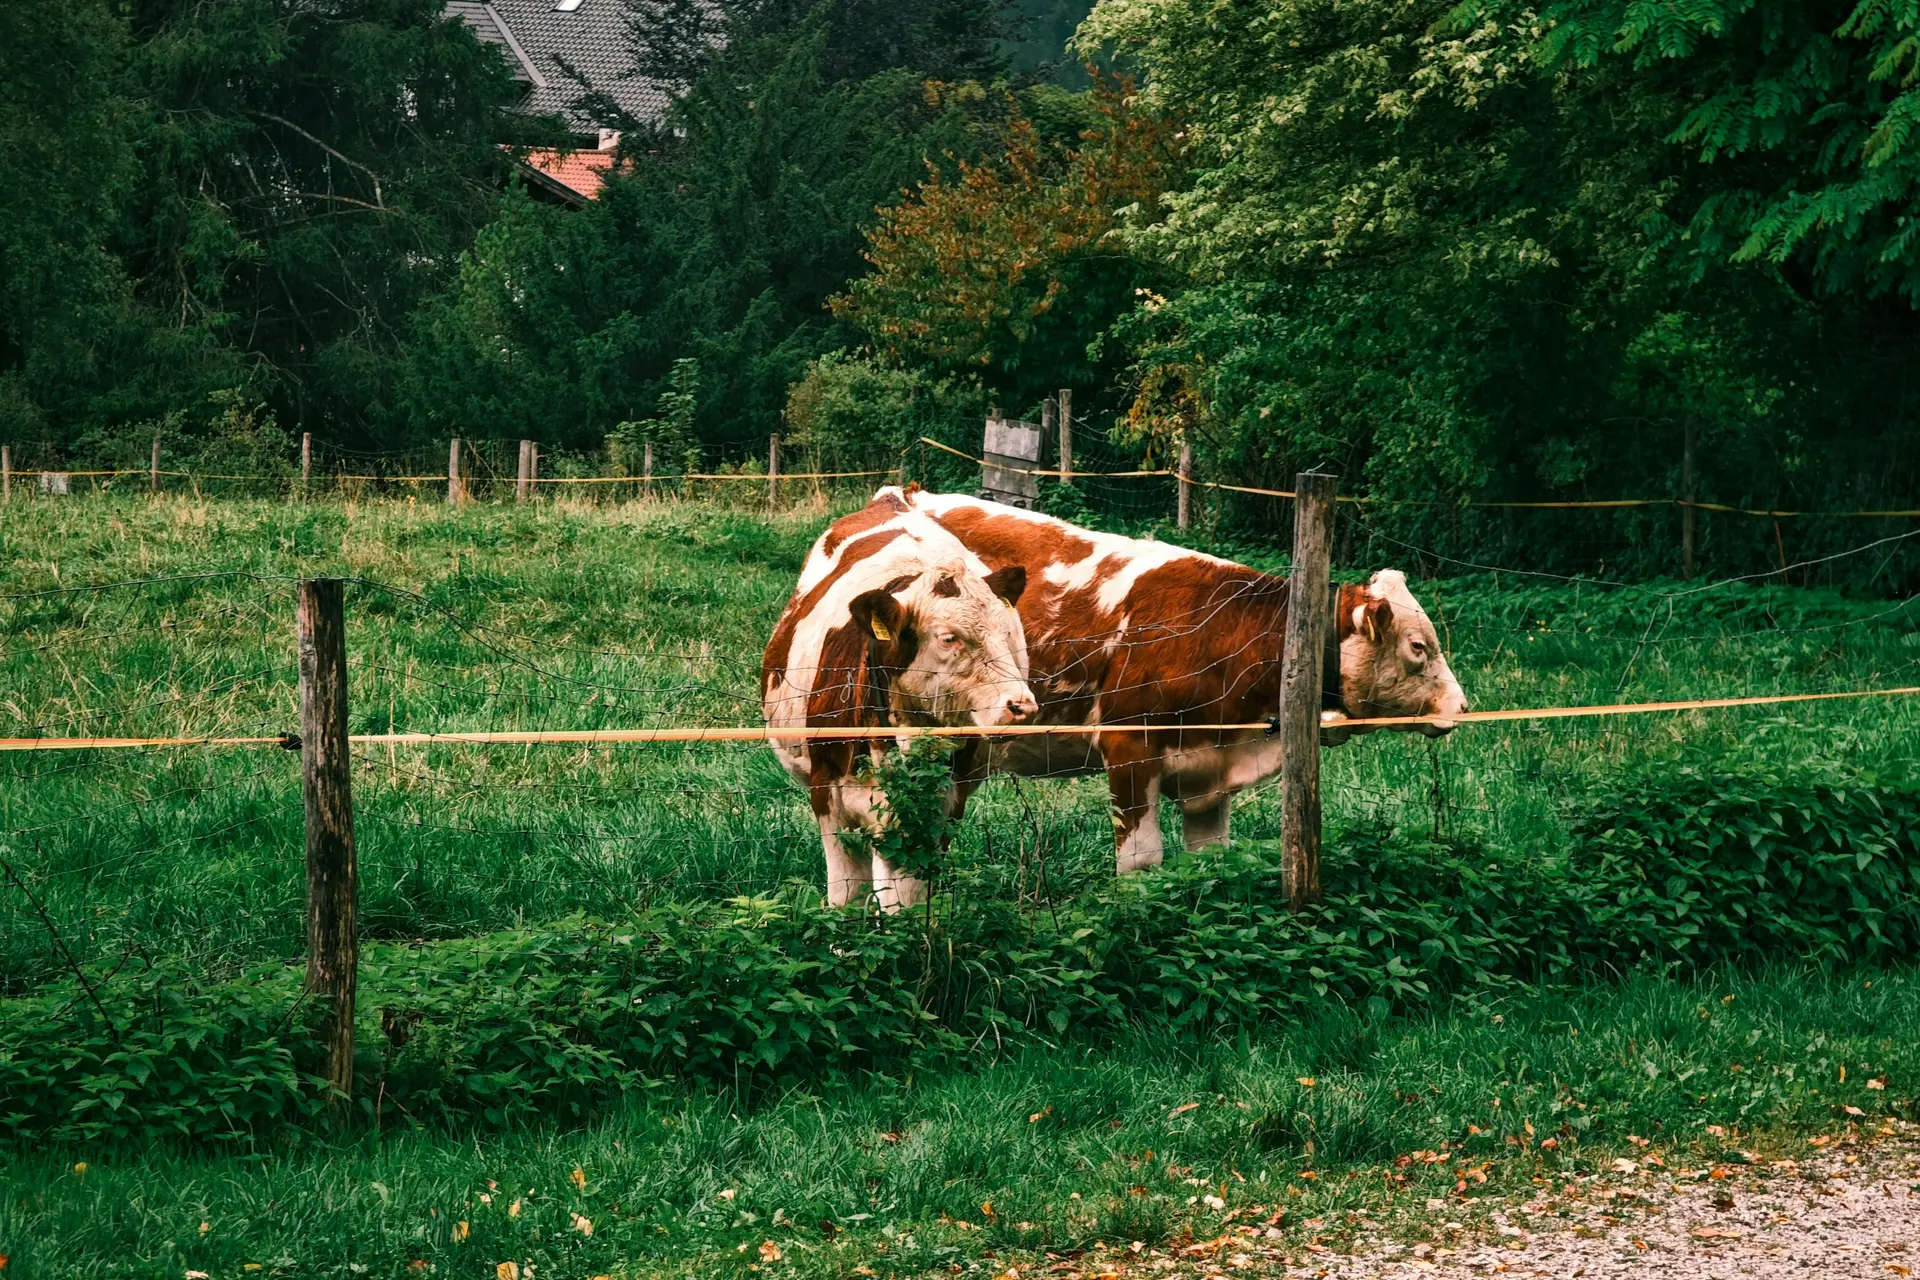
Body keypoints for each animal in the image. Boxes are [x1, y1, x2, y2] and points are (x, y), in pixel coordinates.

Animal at [762, 489, 1038, 910]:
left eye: (1008, 633)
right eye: (948, 637)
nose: (1021, 706)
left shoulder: (940, 808)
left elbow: (904, 901)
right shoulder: (827, 796)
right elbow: (847, 896)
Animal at [896, 488, 1470, 873]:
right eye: (1419, 647)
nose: (1461, 706)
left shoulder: (1211, 765)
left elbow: (1211, 858)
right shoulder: (1128, 747)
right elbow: (1142, 861)